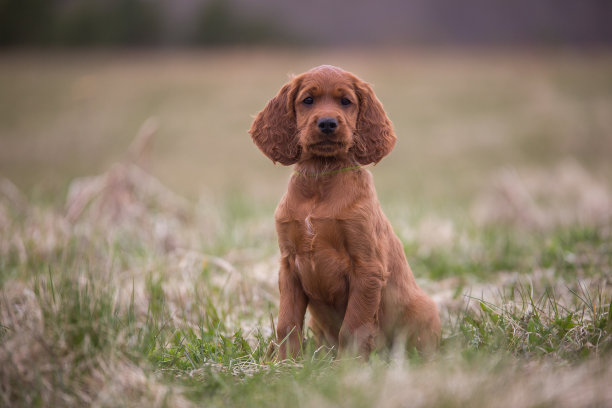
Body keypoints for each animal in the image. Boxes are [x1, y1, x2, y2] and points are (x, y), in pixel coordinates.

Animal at [249, 65, 440, 358]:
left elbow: (353, 327)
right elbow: (287, 324)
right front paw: (286, 363)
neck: (321, 177)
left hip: (423, 310)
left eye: (346, 101)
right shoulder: (289, 265)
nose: (328, 123)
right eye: (308, 100)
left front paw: (349, 365)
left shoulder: (367, 267)